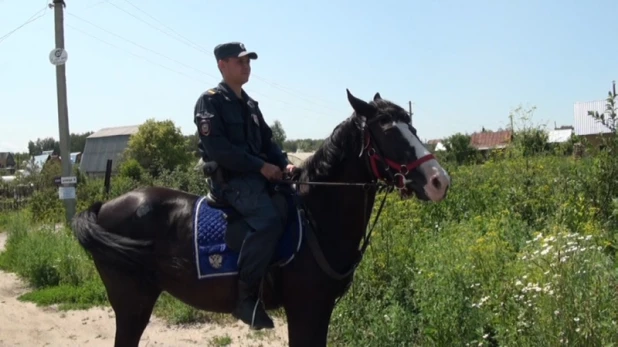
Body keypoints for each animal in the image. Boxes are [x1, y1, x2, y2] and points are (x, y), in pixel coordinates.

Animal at [71, 90, 448, 347]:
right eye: (387, 131)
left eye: (412, 126)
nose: (439, 181)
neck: (316, 217)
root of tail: (103, 207)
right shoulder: (305, 309)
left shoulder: (321, 309)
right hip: (132, 303)